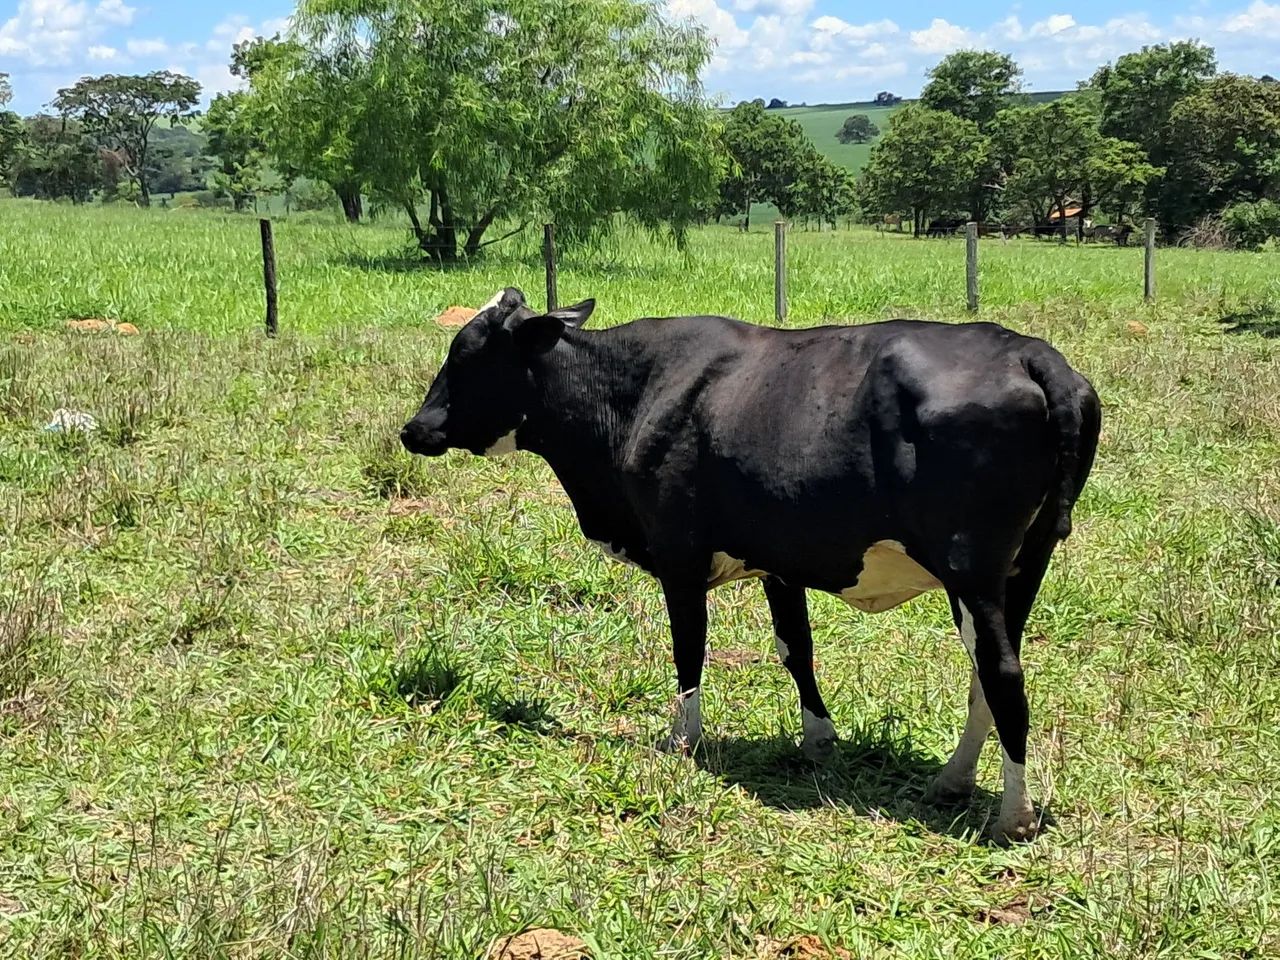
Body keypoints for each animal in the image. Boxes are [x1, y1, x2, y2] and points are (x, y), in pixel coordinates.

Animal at [400, 288, 1101, 844]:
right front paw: (819, 741)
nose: (413, 429)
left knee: (1003, 674)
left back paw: (1013, 815)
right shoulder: (779, 563)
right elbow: (797, 649)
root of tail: (1027, 352)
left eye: (465, 355)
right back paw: (953, 780)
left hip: (970, 570)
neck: (633, 392)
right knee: (987, 673)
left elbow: (689, 652)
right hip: (1020, 570)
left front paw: (683, 743)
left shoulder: (679, 557)